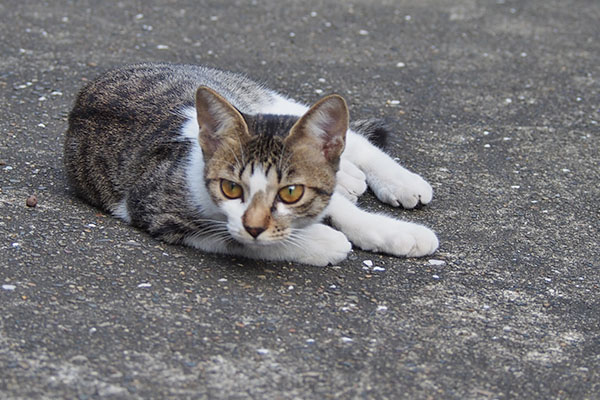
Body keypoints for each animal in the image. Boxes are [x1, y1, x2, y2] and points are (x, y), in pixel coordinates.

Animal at [63, 63, 438, 266]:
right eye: (231, 188)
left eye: (289, 191)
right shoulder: (160, 212)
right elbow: (243, 240)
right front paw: (324, 241)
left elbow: (339, 208)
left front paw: (398, 233)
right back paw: (350, 178)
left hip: (270, 104)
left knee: (357, 143)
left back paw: (397, 182)